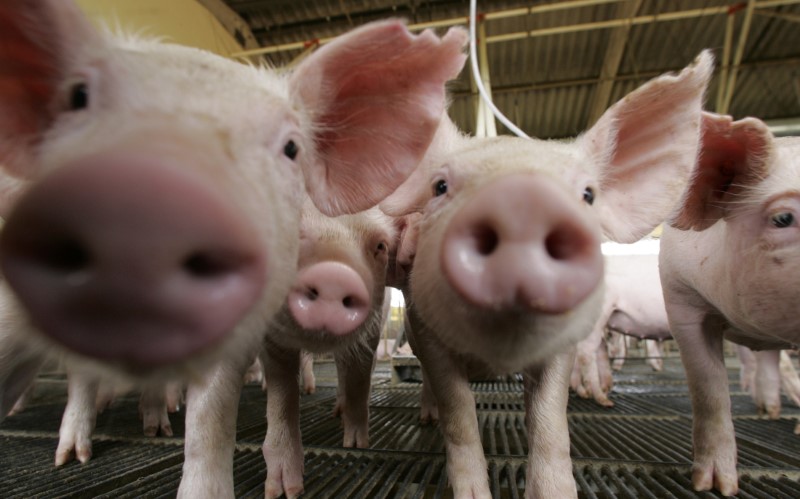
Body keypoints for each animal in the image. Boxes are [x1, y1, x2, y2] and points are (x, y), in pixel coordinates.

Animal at [382, 52, 712, 498]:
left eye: (588, 195)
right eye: (439, 187)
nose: (523, 199)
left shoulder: (565, 343)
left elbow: (549, 418)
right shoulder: (425, 328)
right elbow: (459, 414)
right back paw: (426, 419)